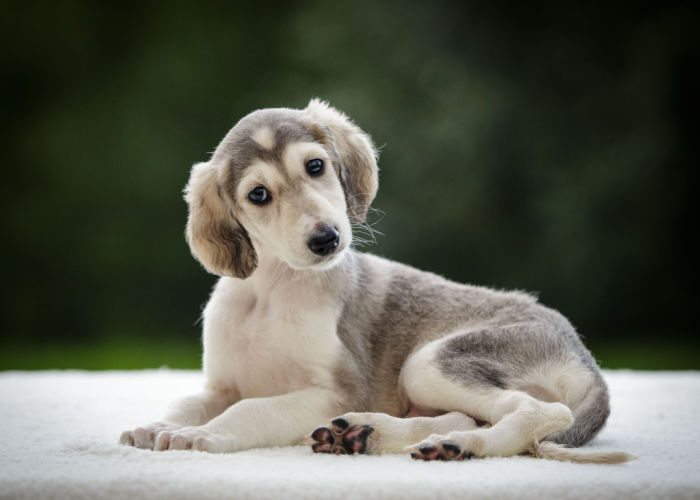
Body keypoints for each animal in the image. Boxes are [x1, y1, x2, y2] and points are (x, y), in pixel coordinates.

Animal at [120, 99, 636, 462]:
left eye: (315, 166)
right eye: (258, 194)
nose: (326, 239)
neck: (271, 293)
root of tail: (586, 357)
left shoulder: (339, 390)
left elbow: (252, 409)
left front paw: (200, 435)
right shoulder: (222, 386)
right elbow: (187, 401)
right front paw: (156, 427)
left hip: (428, 363)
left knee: (543, 412)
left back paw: (454, 445)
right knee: (471, 416)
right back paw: (374, 435)